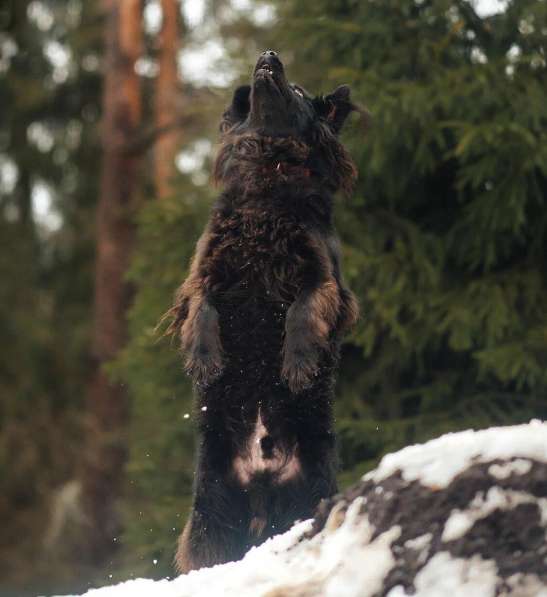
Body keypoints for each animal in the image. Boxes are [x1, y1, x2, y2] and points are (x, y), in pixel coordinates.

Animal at [169, 49, 362, 572]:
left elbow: (301, 312)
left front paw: (297, 366)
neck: (267, 187)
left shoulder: (326, 283)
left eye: (296, 91)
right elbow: (203, 311)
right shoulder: (203, 275)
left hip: (304, 498)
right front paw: (205, 360)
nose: (269, 55)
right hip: (213, 511)